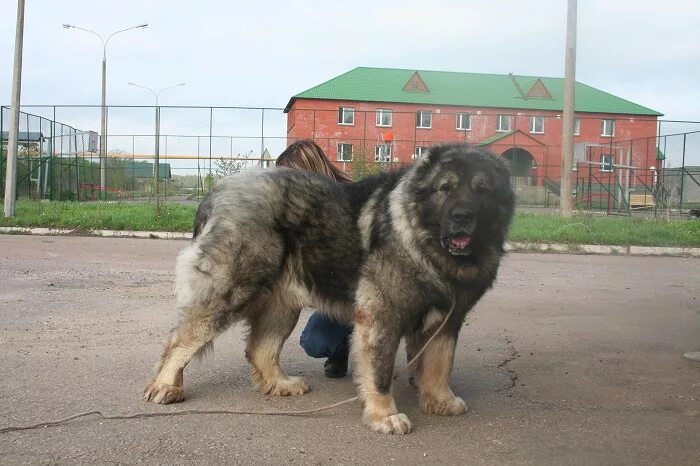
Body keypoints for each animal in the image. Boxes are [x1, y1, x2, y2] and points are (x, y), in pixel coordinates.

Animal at [144, 143, 516, 434]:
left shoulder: (447, 319)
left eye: (482, 190)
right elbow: (380, 373)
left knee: (260, 349)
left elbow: (440, 364)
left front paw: (439, 400)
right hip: (231, 288)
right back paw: (165, 386)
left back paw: (281, 384)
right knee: (182, 340)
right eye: (444, 189)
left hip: (282, 305)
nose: (462, 216)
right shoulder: (382, 315)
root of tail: (218, 192)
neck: (425, 244)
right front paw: (385, 416)